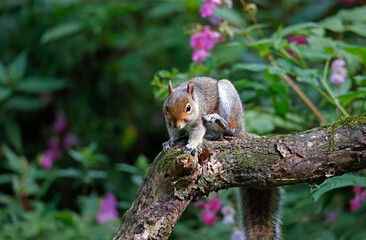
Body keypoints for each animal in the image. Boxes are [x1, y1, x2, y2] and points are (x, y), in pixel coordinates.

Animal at [162, 77, 282, 240]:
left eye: (188, 108)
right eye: (167, 107)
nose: (177, 123)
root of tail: (243, 131)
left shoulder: (199, 120)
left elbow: (198, 132)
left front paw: (191, 145)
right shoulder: (169, 122)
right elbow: (173, 133)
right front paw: (170, 141)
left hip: (229, 100)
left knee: (230, 130)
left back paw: (219, 121)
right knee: (221, 135)